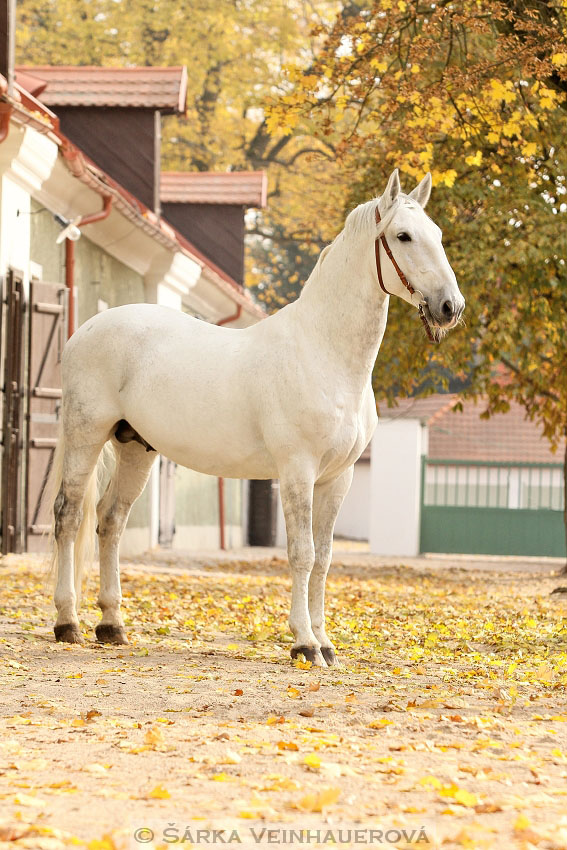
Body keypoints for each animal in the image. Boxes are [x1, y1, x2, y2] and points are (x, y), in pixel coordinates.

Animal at [51, 169, 464, 664]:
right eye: (403, 236)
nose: (451, 307)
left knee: (110, 522)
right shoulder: (298, 471)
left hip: (135, 448)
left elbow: (325, 557)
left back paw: (112, 625)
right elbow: (303, 553)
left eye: (437, 234)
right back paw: (67, 622)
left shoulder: (337, 478)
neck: (323, 351)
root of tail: (85, 330)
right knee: (69, 515)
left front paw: (325, 642)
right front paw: (304, 643)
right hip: (86, 436)